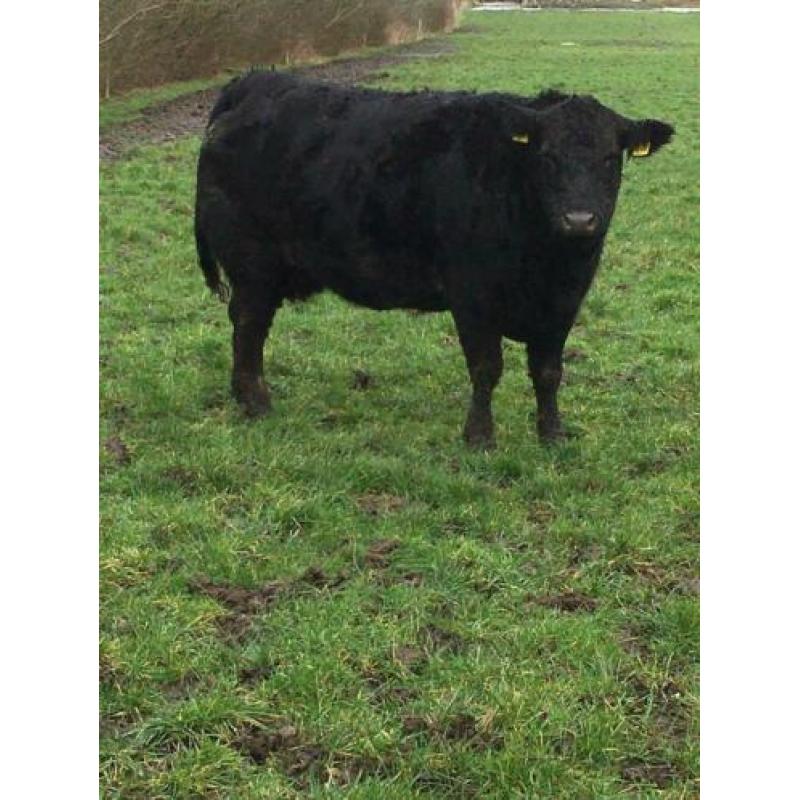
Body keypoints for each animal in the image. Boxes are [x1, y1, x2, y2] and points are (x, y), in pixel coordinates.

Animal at [194, 71, 674, 448]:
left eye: (610, 158)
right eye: (546, 156)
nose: (579, 219)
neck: (548, 263)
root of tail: (258, 81)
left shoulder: (562, 304)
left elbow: (548, 371)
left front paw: (552, 434)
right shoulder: (473, 294)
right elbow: (486, 368)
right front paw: (479, 437)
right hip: (252, 264)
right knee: (249, 325)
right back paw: (256, 401)